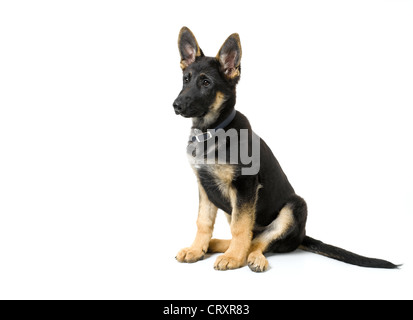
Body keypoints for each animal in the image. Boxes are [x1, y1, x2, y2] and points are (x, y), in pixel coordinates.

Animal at [172, 28, 398, 272]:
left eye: (206, 82)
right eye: (186, 79)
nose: (176, 105)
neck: (212, 132)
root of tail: (302, 236)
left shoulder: (245, 185)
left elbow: (240, 227)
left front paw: (233, 257)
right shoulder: (204, 186)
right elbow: (203, 222)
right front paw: (197, 249)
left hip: (295, 207)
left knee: (258, 242)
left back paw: (251, 257)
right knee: (251, 238)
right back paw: (216, 245)